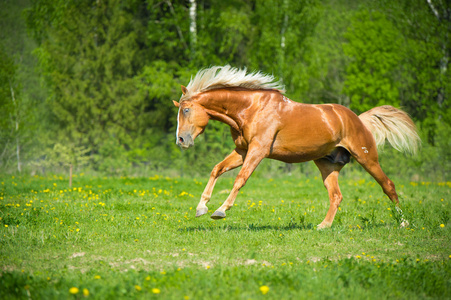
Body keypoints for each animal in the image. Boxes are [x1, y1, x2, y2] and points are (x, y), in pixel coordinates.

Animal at [173, 65, 420, 229]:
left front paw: (220, 211)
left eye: (186, 110)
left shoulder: (258, 151)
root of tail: (358, 120)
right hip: (327, 165)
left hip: (366, 157)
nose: (181, 140)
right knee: (336, 196)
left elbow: (240, 179)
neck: (251, 109)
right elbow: (217, 169)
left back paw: (403, 222)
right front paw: (201, 207)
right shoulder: (242, 151)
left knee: (388, 186)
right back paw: (323, 226)